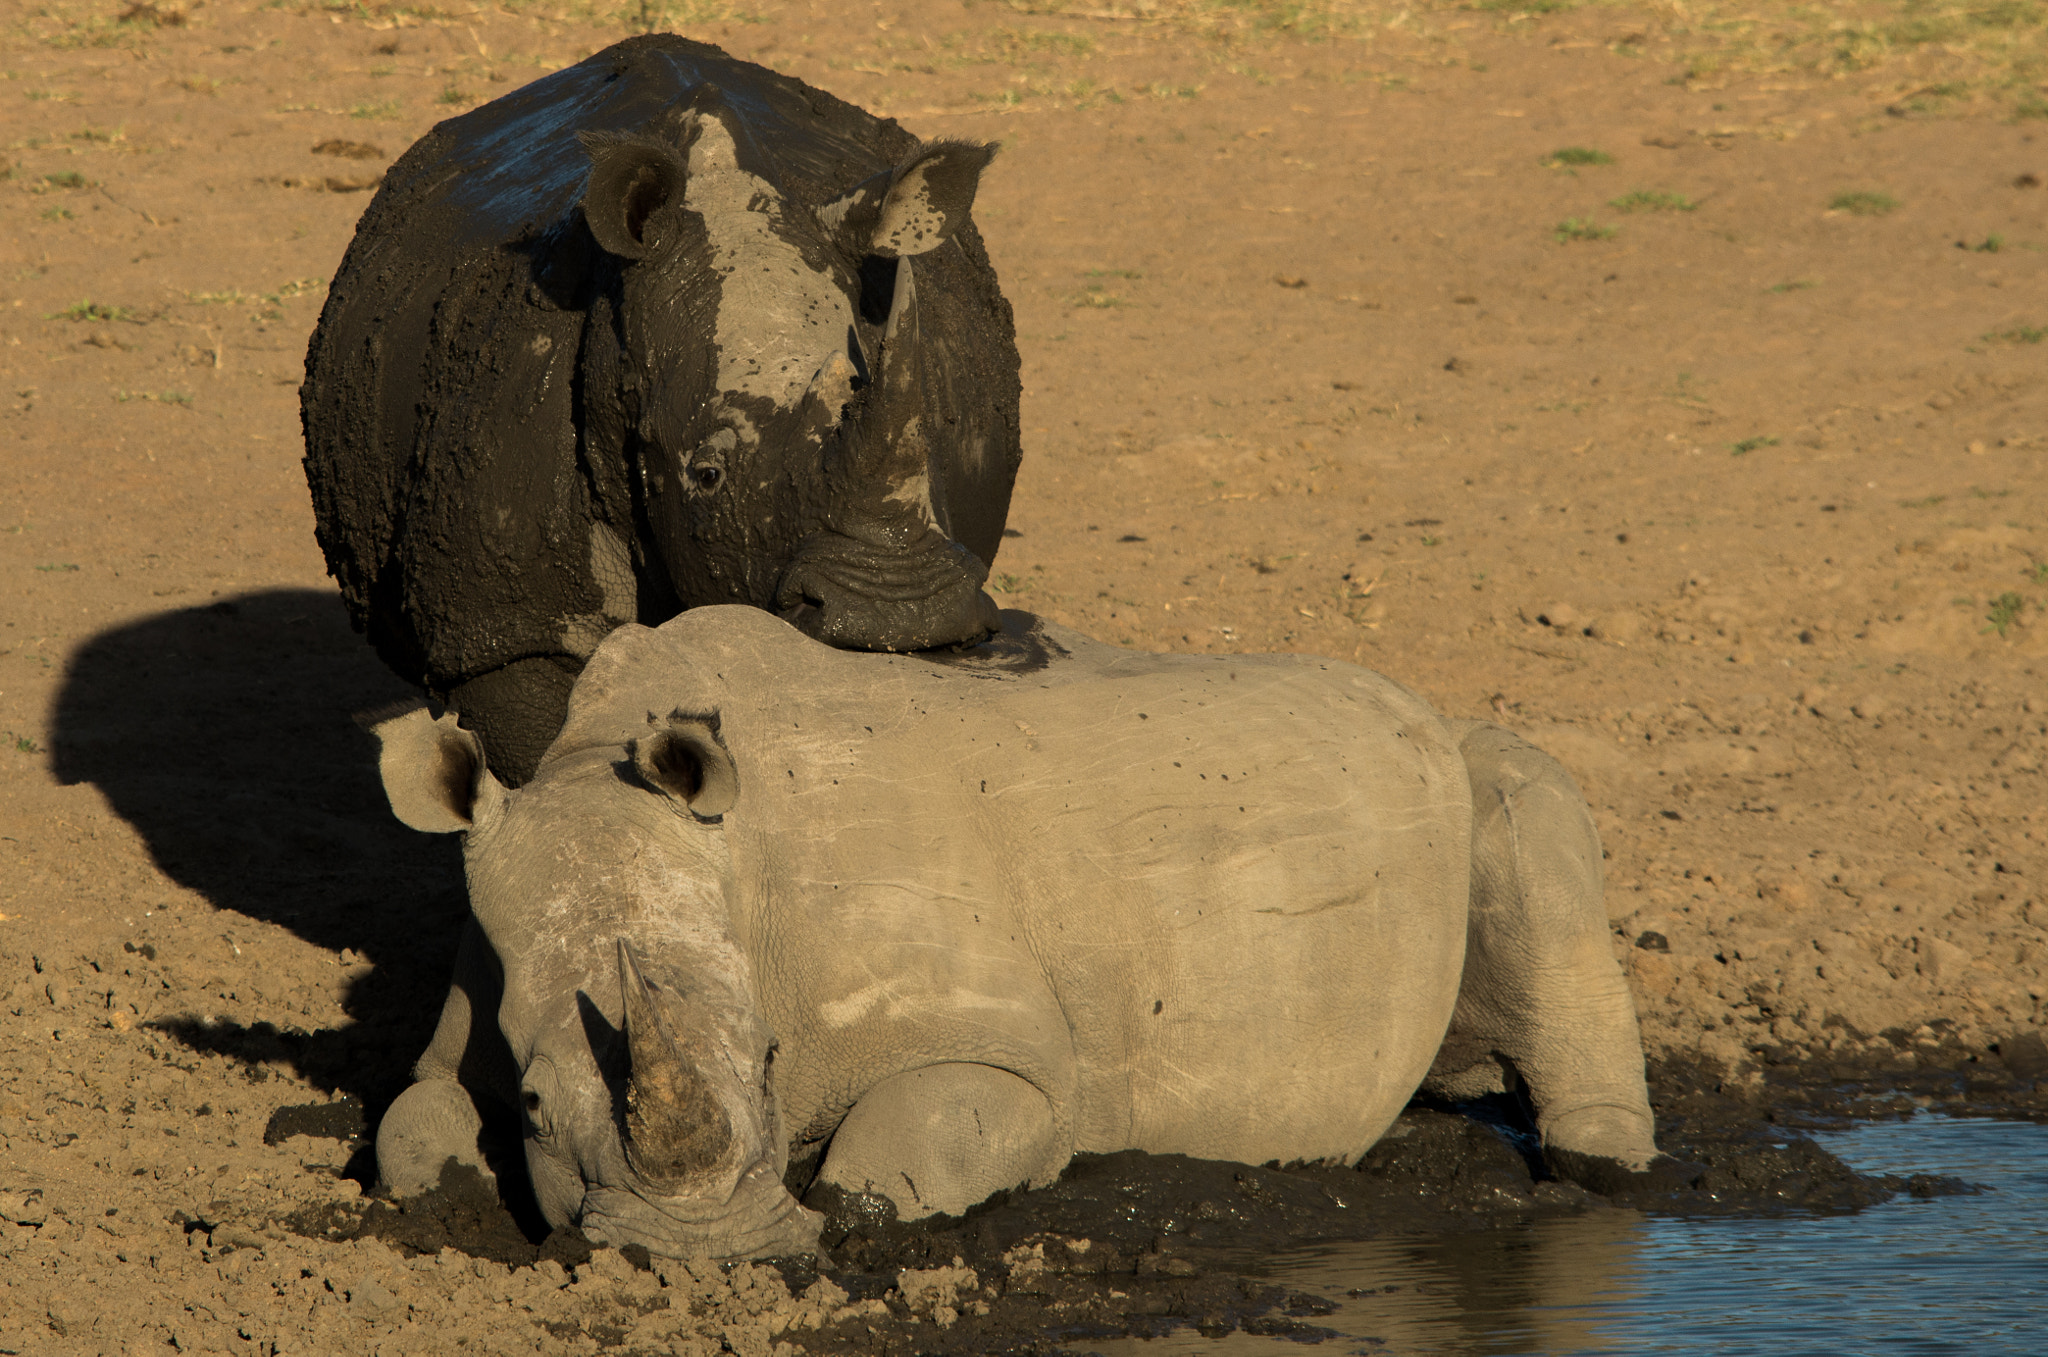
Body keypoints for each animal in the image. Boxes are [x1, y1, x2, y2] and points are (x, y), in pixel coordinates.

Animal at [368, 605, 1671, 1260]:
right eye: (538, 1106)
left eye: (774, 1063)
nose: (707, 1255)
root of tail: (1405, 696)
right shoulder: (477, 981)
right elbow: (411, 1121)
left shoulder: (1019, 1057)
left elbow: (913, 1146)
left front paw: (848, 1210)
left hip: (1456, 756)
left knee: (1525, 801)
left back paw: (1597, 1170)